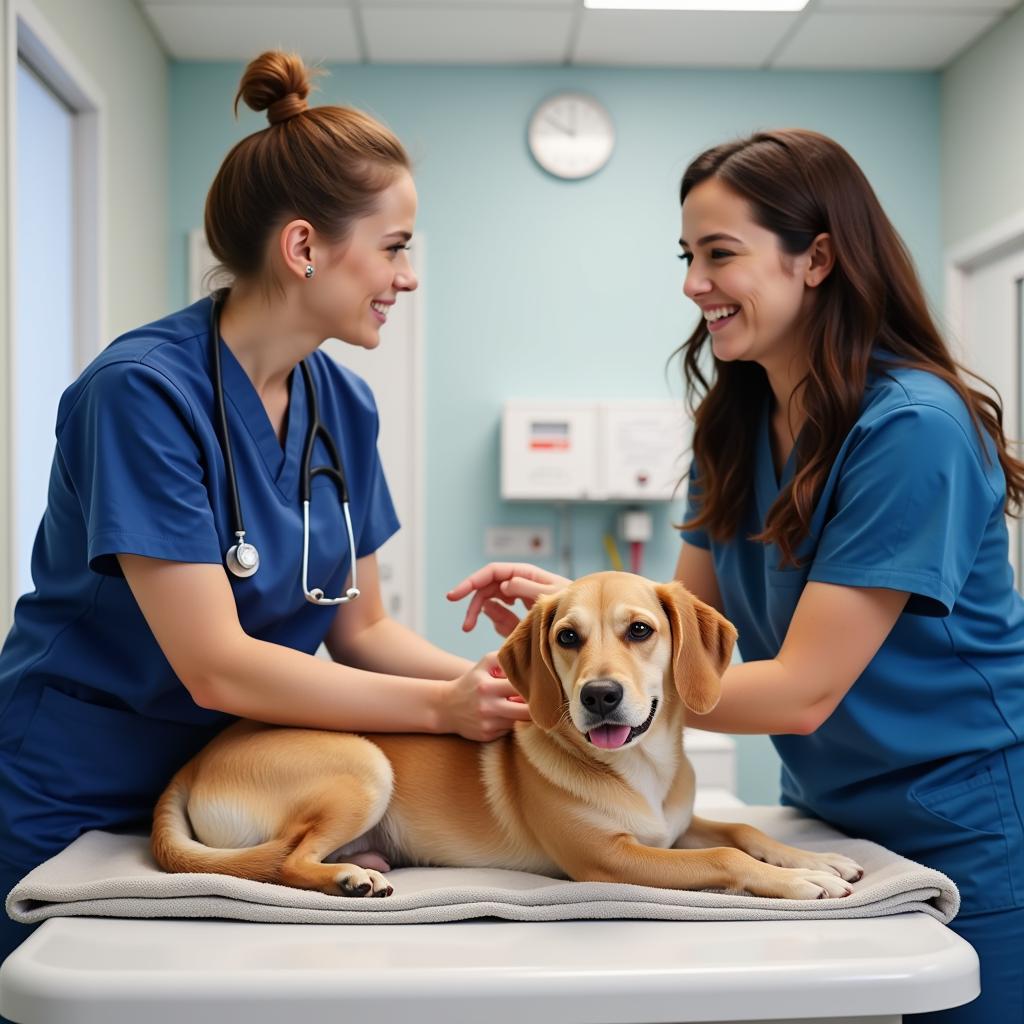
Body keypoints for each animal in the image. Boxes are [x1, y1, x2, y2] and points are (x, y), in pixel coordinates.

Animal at [151, 573, 864, 901]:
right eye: (567, 637)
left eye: (640, 630)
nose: (599, 697)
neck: (645, 772)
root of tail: (189, 766)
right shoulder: (611, 860)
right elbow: (722, 857)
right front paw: (804, 882)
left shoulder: (675, 828)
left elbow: (740, 830)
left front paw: (818, 859)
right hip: (365, 766)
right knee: (288, 862)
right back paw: (348, 878)